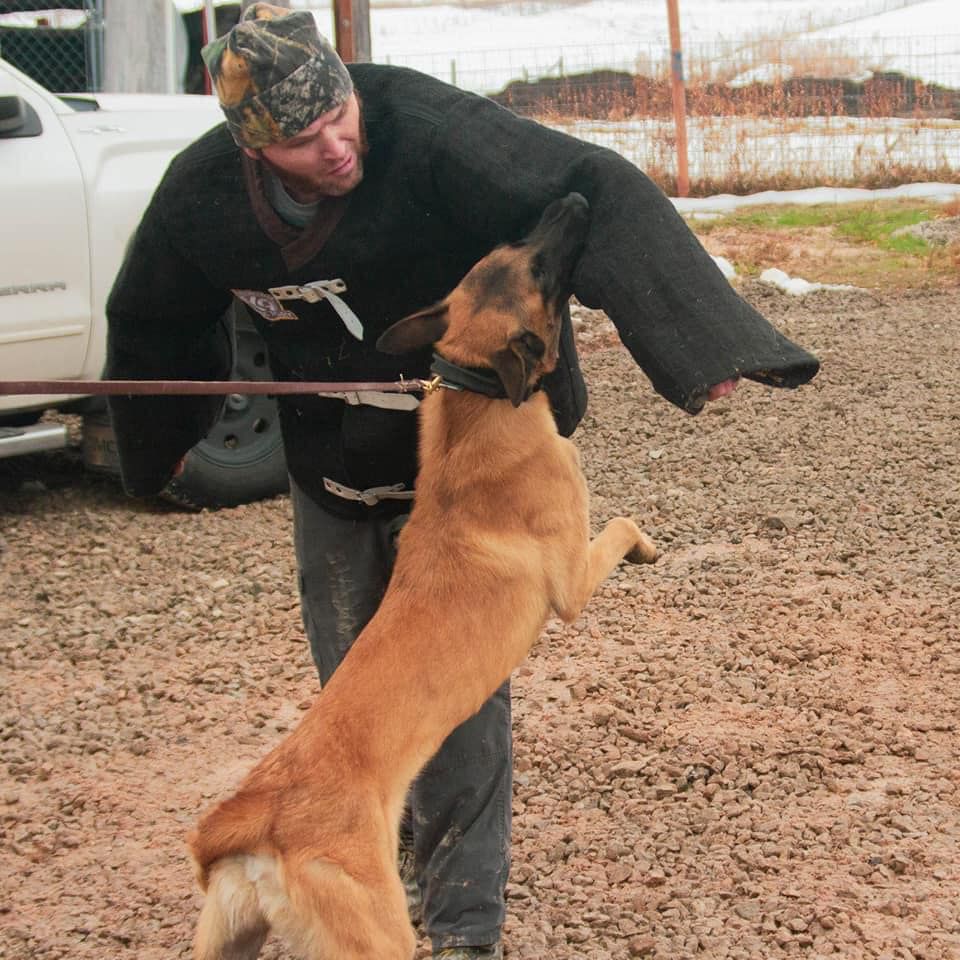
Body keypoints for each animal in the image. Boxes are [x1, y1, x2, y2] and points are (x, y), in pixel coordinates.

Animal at [186, 193, 660, 960]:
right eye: (539, 270)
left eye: (509, 248)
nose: (573, 199)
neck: (479, 394)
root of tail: (263, 819)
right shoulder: (572, 578)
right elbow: (620, 525)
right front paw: (646, 546)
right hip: (378, 936)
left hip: (227, 938)